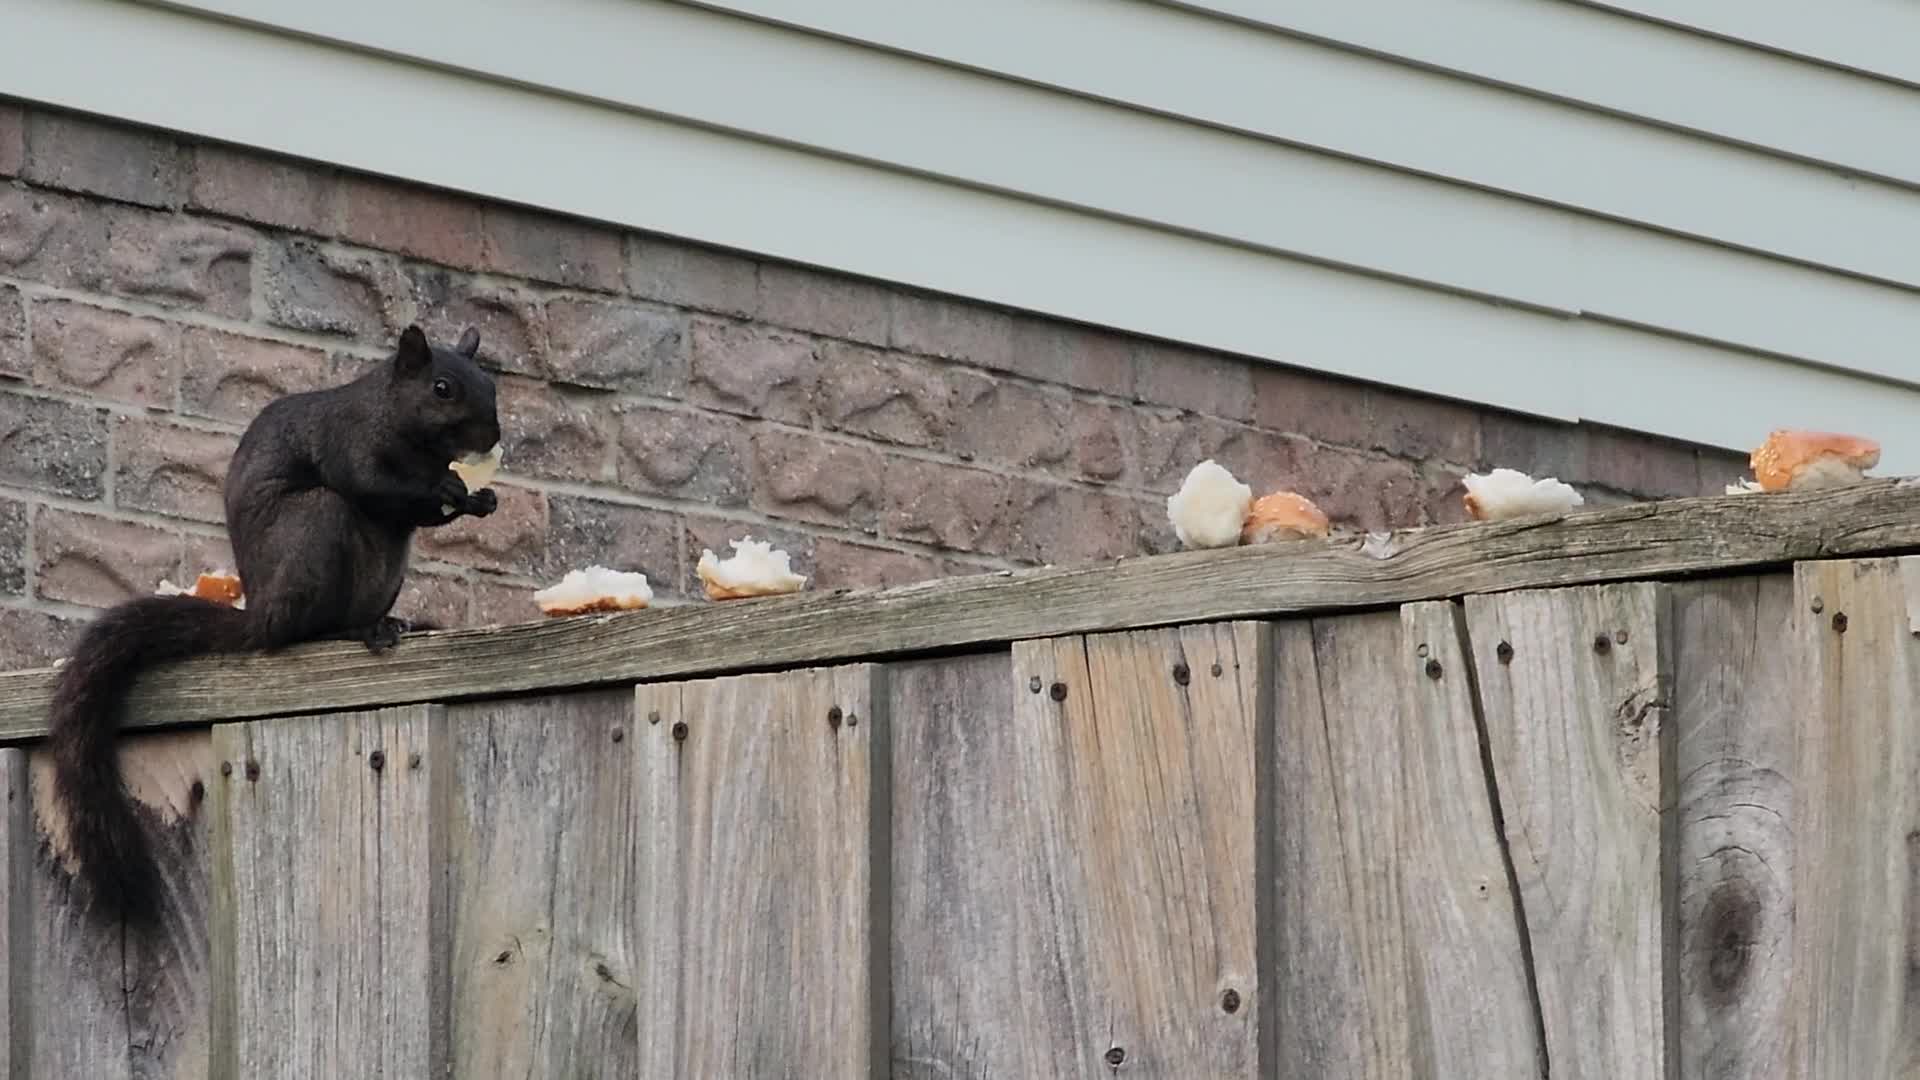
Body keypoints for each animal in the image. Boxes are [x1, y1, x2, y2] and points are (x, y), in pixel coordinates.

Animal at [46, 323, 503, 927]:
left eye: (491, 382)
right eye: (442, 388)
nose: (493, 436)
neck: (403, 427)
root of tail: (260, 614)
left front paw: (480, 498)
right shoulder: (348, 440)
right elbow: (374, 485)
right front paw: (448, 490)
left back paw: (390, 621)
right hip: (314, 525)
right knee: (301, 625)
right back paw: (349, 632)